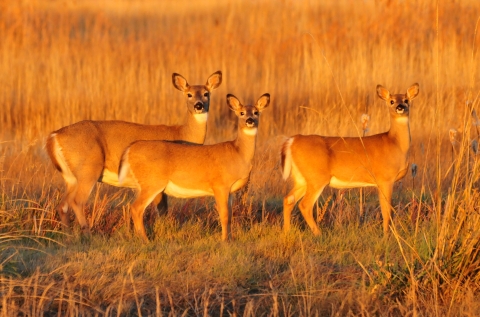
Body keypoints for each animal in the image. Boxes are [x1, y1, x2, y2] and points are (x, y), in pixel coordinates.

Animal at [46, 71, 222, 235]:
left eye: (206, 93)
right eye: (189, 94)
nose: (199, 105)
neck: (180, 133)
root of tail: (54, 136)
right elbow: (162, 210)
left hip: (70, 177)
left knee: (63, 205)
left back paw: (69, 236)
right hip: (89, 169)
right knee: (77, 202)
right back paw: (88, 234)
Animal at [118, 92, 270, 241]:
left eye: (256, 112)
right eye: (242, 113)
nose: (250, 120)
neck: (238, 153)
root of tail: (130, 149)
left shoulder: (231, 191)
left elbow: (231, 216)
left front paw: (231, 240)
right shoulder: (220, 185)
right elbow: (224, 215)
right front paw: (224, 241)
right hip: (152, 182)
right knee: (136, 208)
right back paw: (146, 240)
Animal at [282, 83, 420, 235]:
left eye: (406, 100)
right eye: (391, 101)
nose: (400, 107)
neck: (395, 144)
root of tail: (292, 141)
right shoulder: (385, 179)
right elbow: (386, 210)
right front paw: (386, 235)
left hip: (301, 178)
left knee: (288, 199)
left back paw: (286, 232)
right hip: (316, 177)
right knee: (304, 204)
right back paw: (318, 234)